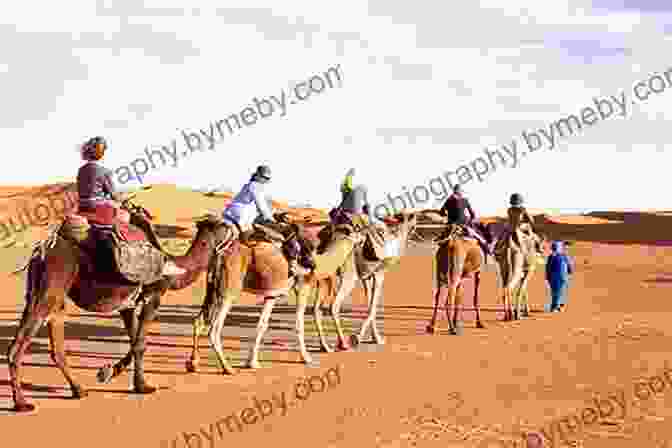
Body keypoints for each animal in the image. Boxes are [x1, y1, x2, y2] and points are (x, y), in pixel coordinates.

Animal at [5, 200, 234, 412]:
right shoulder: (153, 297)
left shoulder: (128, 304)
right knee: (22, 341)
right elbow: (140, 343)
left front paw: (110, 372)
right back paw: (22, 403)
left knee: (55, 336)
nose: (235, 229)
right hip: (52, 285)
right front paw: (142, 386)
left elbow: (134, 341)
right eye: (222, 225)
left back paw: (78, 390)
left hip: (48, 292)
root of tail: (42, 251)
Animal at [185, 219, 368, 372]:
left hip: (212, 288)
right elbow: (299, 324)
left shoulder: (272, 296)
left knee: (198, 321)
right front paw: (306, 358)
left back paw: (193, 363)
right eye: (356, 230)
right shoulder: (303, 285)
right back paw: (227, 368)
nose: (364, 235)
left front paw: (252, 362)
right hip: (229, 290)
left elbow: (262, 325)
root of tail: (220, 253)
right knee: (215, 328)